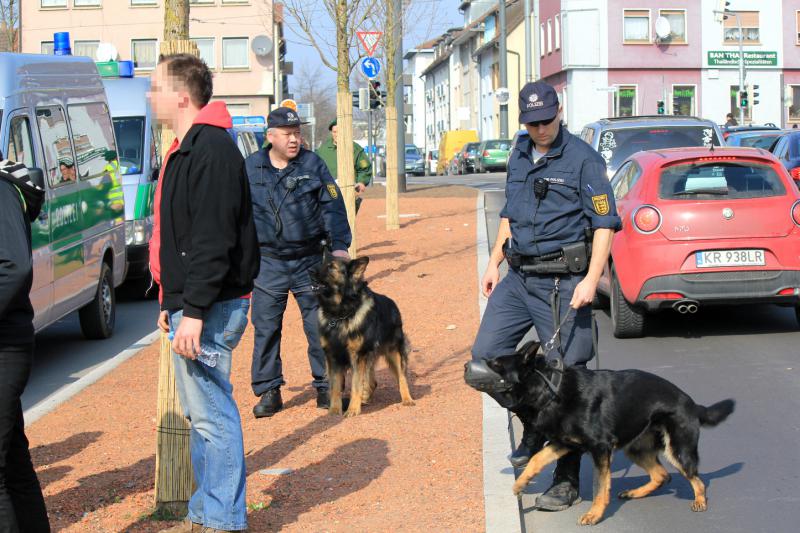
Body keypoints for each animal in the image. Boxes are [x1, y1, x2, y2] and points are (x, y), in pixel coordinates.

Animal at [310, 251, 416, 418]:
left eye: (331, 267)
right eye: (322, 264)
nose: (309, 271)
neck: (340, 314)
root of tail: (394, 305)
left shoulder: (358, 356)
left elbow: (355, 384)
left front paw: (353, 409)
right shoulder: (333, 357)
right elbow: (335, 387)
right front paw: (334, 410)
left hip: (394, 352)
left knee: (402, 377)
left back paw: (407, 399)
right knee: (372, 382)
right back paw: (365, 399)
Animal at [482, 340, 732, 524]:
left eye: (496, 364)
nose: (474, 364)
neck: (551, 388)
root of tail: (693, 404)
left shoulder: (600, 449)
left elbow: (601, 486)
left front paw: (594, 514)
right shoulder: (564, 444)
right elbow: (536, 459)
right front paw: (520, 484)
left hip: (677, 450)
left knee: (697, 479)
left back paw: (700, 501)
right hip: (636, 450)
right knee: (662, 475)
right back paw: (634, 493)